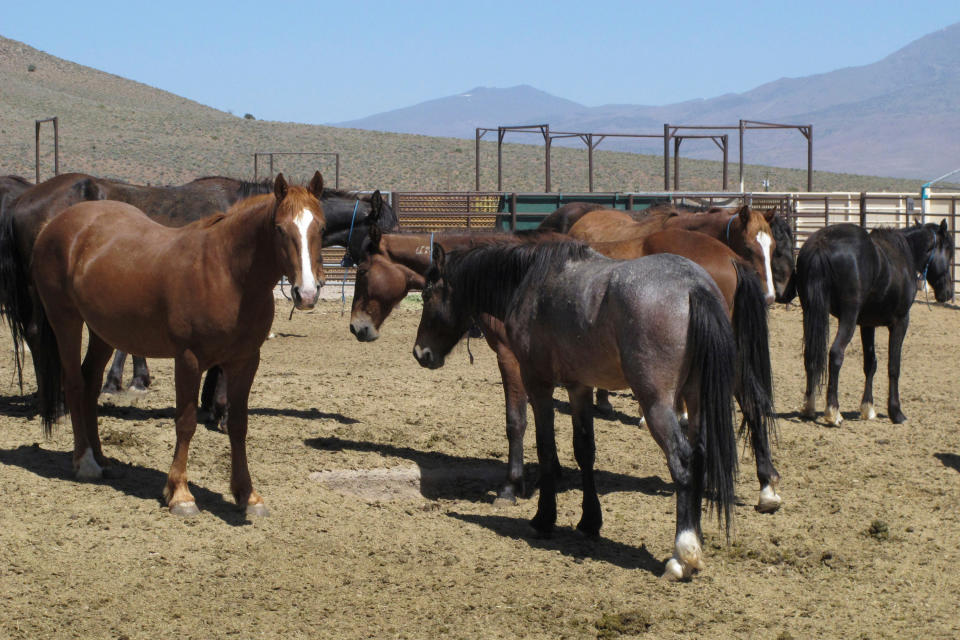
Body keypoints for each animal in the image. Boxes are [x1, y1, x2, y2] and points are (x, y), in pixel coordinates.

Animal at [30, 172, 326, 516]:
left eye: (320, 227)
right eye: (279, 228)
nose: (307, 294)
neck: (227, 273)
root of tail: (53, 225)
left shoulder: (246, 360)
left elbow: (238, 424)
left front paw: (247, 495)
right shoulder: (188, 359)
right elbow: (186, 423)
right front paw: (180, 494)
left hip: (103, 331)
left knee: (90, 383)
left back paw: (102, 458)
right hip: (65, 319)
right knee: (75, 384)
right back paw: (86, 462)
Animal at [410, 241, 736, 580]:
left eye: (427, 295)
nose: (420, 352)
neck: (529, 281)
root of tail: (693, 286)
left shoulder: (537, 382)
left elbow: (543, 446)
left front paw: (543, 518)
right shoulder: (579, 386)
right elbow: (584, 451)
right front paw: (589, 522)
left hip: (657, 404)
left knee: (682, 461)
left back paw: (683, 554)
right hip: (695, 400)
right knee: (699, 456)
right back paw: (696, 539)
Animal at [796, 220, 952, 424]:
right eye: (949, 252)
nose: (948, 293)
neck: (904, 253)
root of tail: (821, 244)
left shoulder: (867, 324)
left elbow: (870, 363)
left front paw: (868, 408)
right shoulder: (900, 322)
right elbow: (894, 366)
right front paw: (896, 412)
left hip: (809, 312)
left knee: (810, 356)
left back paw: (809, 407)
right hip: (848, 317)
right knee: (836, 353)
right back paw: (833, 412)